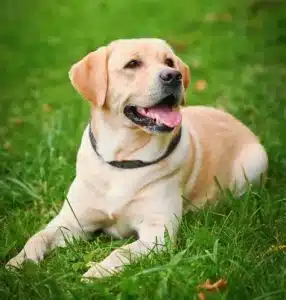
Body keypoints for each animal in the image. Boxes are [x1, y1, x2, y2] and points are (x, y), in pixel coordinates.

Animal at [7, 38, 268, 278]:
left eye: (169, 62)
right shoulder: (71, 221)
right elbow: (38, 237)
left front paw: (95, 273)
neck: (122, 160)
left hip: (254, 162)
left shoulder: (157, 234)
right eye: (133, 64)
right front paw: (19, 262)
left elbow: (120, 252)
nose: (174, 76)